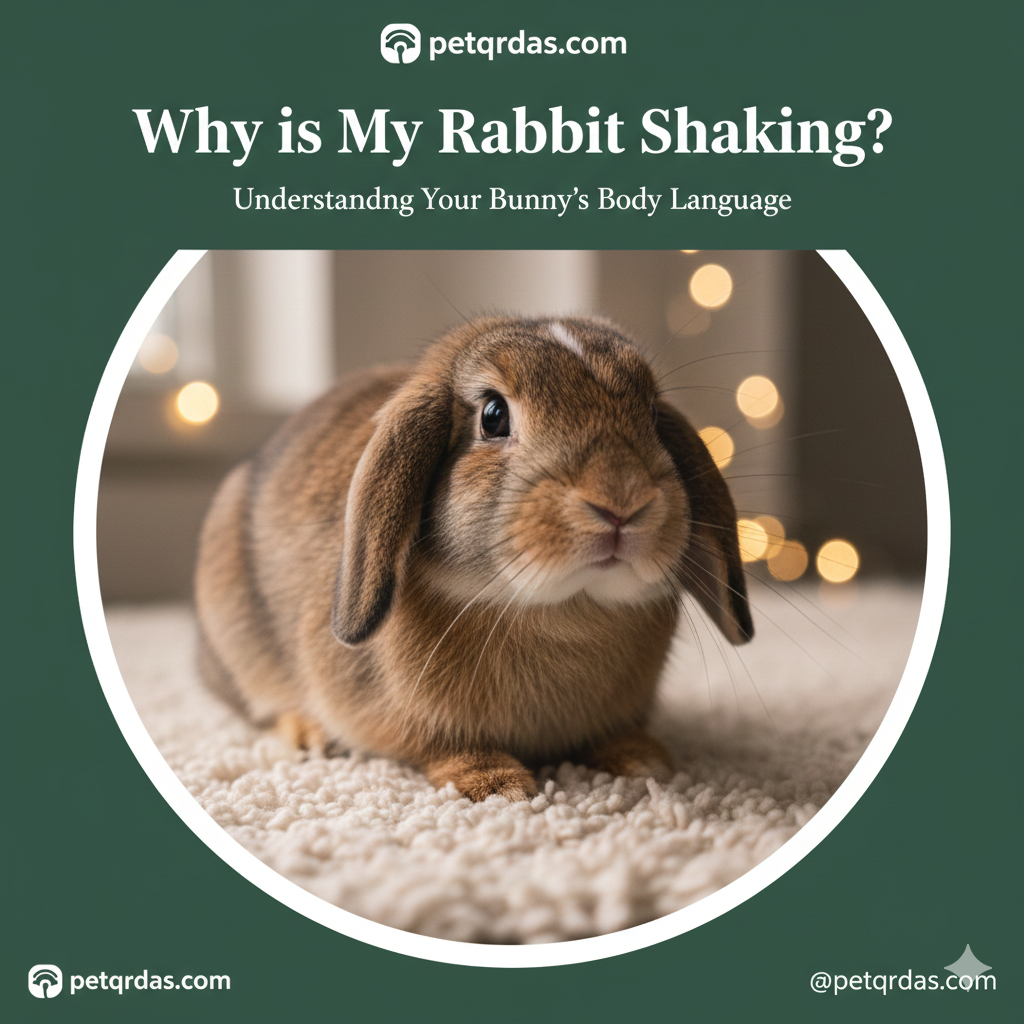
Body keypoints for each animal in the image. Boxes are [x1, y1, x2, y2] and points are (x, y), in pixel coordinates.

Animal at [195, 316, 753, 801]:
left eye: (654, 416)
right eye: (494, 416)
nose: (621, 501)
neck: (563, 610)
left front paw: (643, 761)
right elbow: (448, 749)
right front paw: (497, 786)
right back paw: (309, 735)